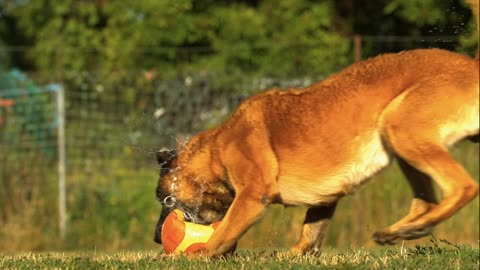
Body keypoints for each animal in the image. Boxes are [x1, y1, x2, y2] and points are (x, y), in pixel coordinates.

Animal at [155, 0, 480, 258]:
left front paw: (195, 257)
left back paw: (417, 226)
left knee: (463, 186)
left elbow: (224, 233)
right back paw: (403, 230)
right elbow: (312, 230)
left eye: (164, 199)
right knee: (426, 201)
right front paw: (293, 256)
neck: (217, 147)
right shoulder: (326, 199)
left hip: (399, 127)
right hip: (400, 143)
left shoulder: (253, 195)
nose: (157, 237)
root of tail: (472, 65)